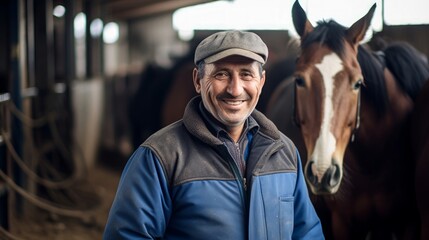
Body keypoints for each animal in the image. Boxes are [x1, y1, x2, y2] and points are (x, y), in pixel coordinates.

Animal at [264, 1, 428, 238]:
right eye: (299, 80)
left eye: (358, 83)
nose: (323, 172)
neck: (372, 161)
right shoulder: (344, 224)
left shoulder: (408, 223)